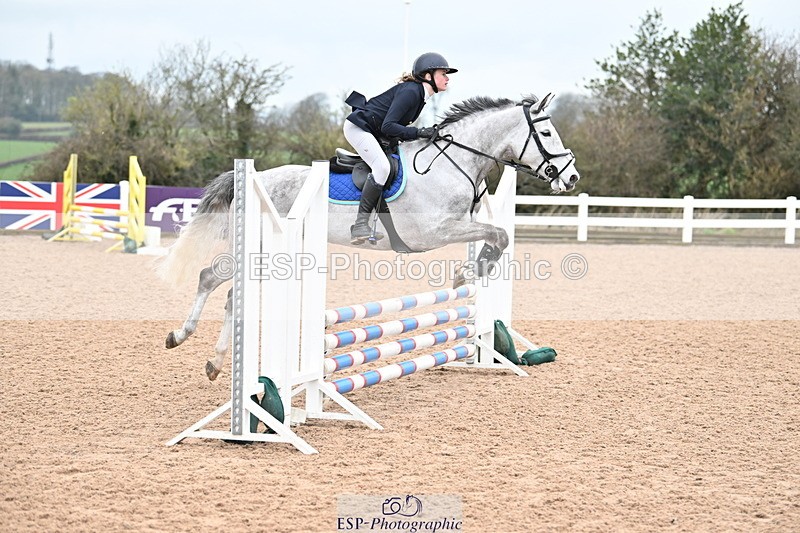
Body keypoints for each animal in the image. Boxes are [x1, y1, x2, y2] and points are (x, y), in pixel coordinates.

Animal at [157, 93, 580, 380]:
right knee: (212, 280)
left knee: (227, 292)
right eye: (545, 132)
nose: (572, 177)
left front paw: (471, 273)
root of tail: (252, 180)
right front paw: (468, 274)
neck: (450, 163)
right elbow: (499, 235)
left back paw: (213, 361)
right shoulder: (433, 232)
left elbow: (497, 235)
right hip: (261, 250)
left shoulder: (458, 224)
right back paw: (182, 337)